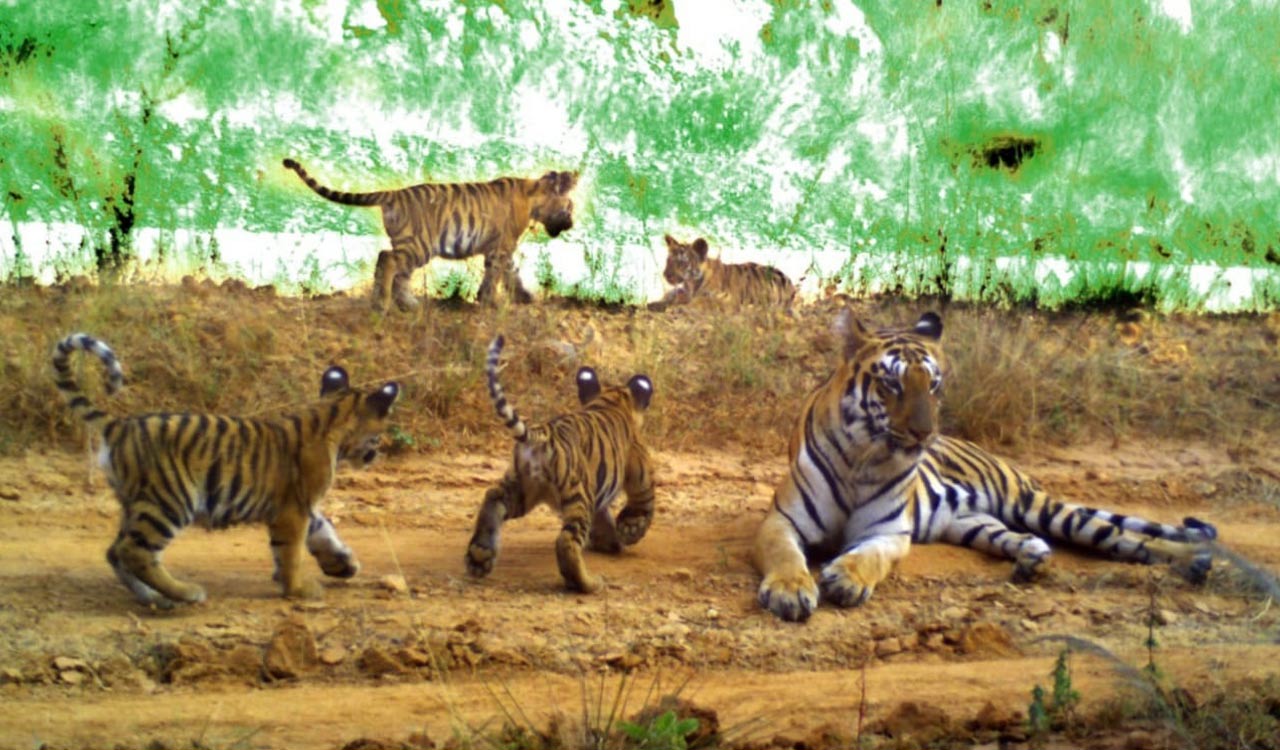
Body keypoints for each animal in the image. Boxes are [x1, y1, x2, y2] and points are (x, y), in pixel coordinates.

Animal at [52, 333, 401, 607]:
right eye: (378, 433)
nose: (376, 453)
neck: (331, 416)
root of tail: (119, 425)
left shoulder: (302, 506)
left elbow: (323, 531)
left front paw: (343, 565)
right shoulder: (292, 508)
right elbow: (291, 552)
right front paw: (298, 589)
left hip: (135, 502)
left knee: (116, 552)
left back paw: (154, 598)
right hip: (170, 500)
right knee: (133, 551)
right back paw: (186, 593)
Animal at [282, 157, 579, 313]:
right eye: (570, 206)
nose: (572, 223)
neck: (533, 196)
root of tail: (392, 194)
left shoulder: (500, 248)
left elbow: (511, 272)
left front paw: (523, 297)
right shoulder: (501, 246)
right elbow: (496, 274)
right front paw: (489, 302)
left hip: (413, 246)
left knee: (394, 267)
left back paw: (408, 303)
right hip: (419, 245)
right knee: (388, 260)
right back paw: (383, 303)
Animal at [465, 335, 656, 593]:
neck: (613, 400)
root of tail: (542, 434)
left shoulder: (598, 497)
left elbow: (603, 520)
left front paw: (610, 542)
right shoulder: (639, 475)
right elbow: (642, 505)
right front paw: (629, 532)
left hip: (522, 489)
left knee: (493, 497)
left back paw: (480, 556)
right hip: (578, 495)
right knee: (566, 541)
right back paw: (588, 584)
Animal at [647, 234, 797, 312]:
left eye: (682, 262)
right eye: (668, 260)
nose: (666, 275)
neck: (691, 284)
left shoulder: (726, 298)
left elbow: (702, 300)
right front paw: (655, 304)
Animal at [753, 309, 1217, 622]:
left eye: (934, 386)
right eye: (892, 385)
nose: (924, 433)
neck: (861, 457)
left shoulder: (889, 532)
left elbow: (871, 557)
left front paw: (847, 578)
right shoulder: (781, 520)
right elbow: (784, 554)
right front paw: (790, 591)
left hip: (1038, 507)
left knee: (1124, 537)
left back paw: (1194, 561)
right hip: (974, 524)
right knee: (1036, 538)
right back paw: (1031, 559)